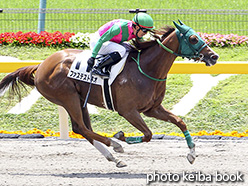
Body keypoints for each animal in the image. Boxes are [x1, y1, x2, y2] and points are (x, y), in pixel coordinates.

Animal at [0, 20, 218, 167]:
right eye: (193, 38)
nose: (214, 56)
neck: (147, 68)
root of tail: (41, 65)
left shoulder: (152, 109)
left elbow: (180, 122)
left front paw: (192, 154)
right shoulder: (128, 111)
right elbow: (148, 134)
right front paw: (121, 137)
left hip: (80, 99)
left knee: (83, 129)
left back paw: (114, 157)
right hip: (67, 97)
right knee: (81, 128)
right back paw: (115, 145)